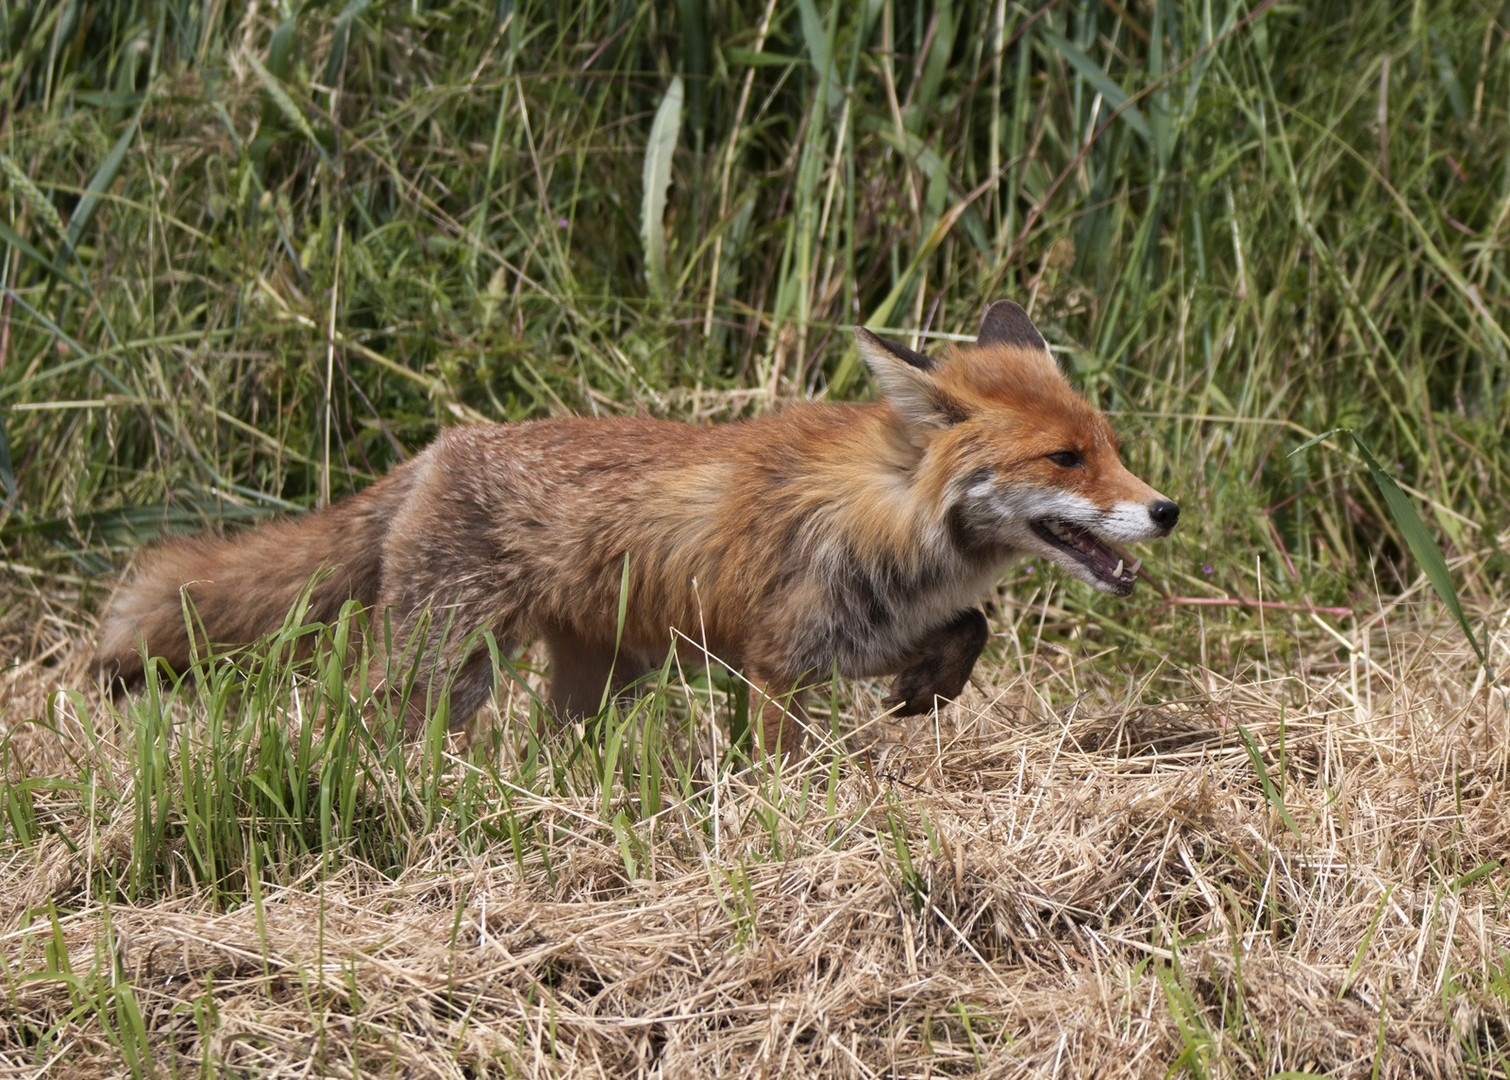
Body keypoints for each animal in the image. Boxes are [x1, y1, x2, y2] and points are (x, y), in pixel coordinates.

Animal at [97, 303, 1177, 752]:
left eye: (1109, 446)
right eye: (1064, 460)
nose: (1166, 509)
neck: (889, 518)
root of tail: (446, 444)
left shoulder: (847, 637)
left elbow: (971, 630)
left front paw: (930, 689)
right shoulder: (778, 662)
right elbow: (780, 766)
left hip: (594, 680)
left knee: (547, 746)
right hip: (445, 665)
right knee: (354, 719)